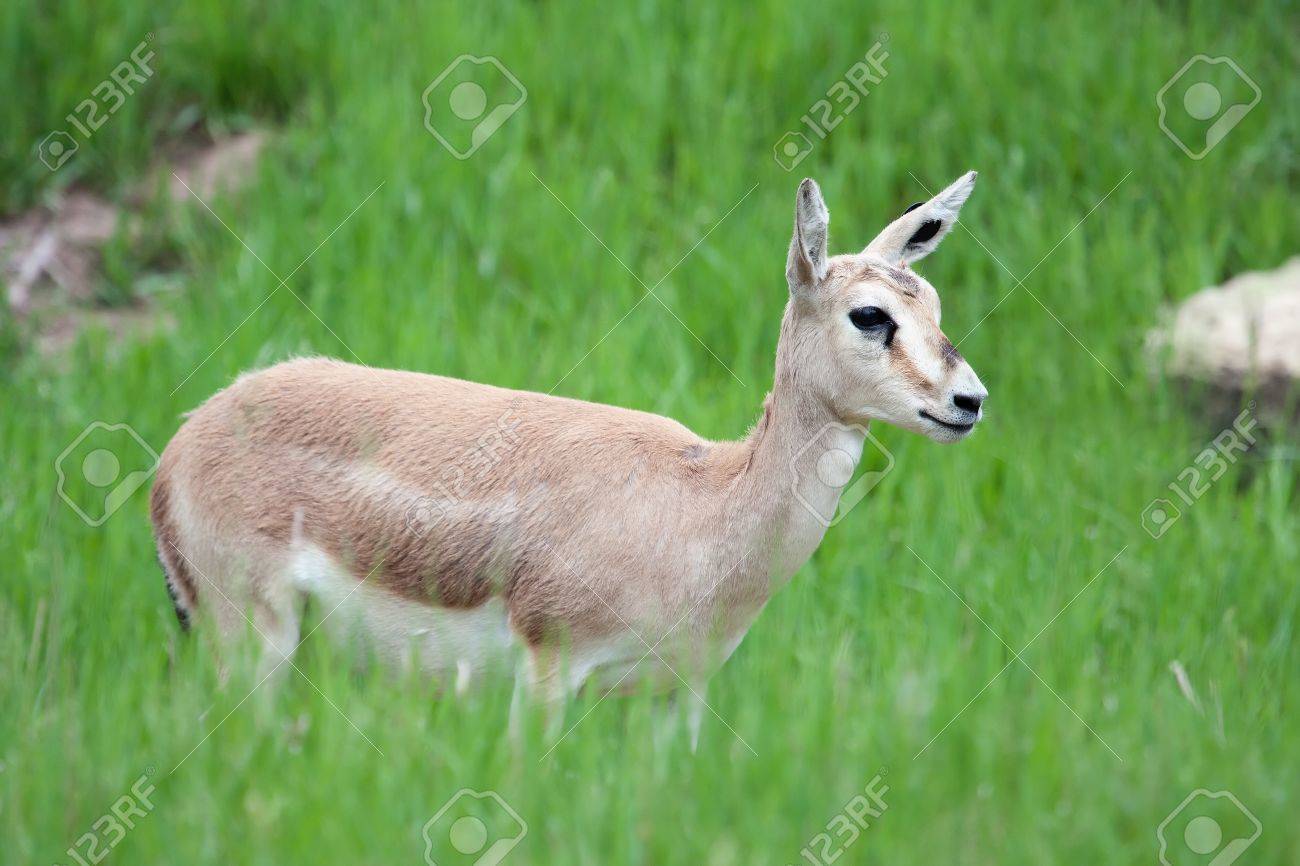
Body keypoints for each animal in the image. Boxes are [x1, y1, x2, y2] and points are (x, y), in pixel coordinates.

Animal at [150, 173, 987, 745]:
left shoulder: (679, 695)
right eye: (870, 315)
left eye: (935, 306)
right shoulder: (548, 673)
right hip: (253, 642)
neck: (701, 504)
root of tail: (179, 446)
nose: (969, 400)